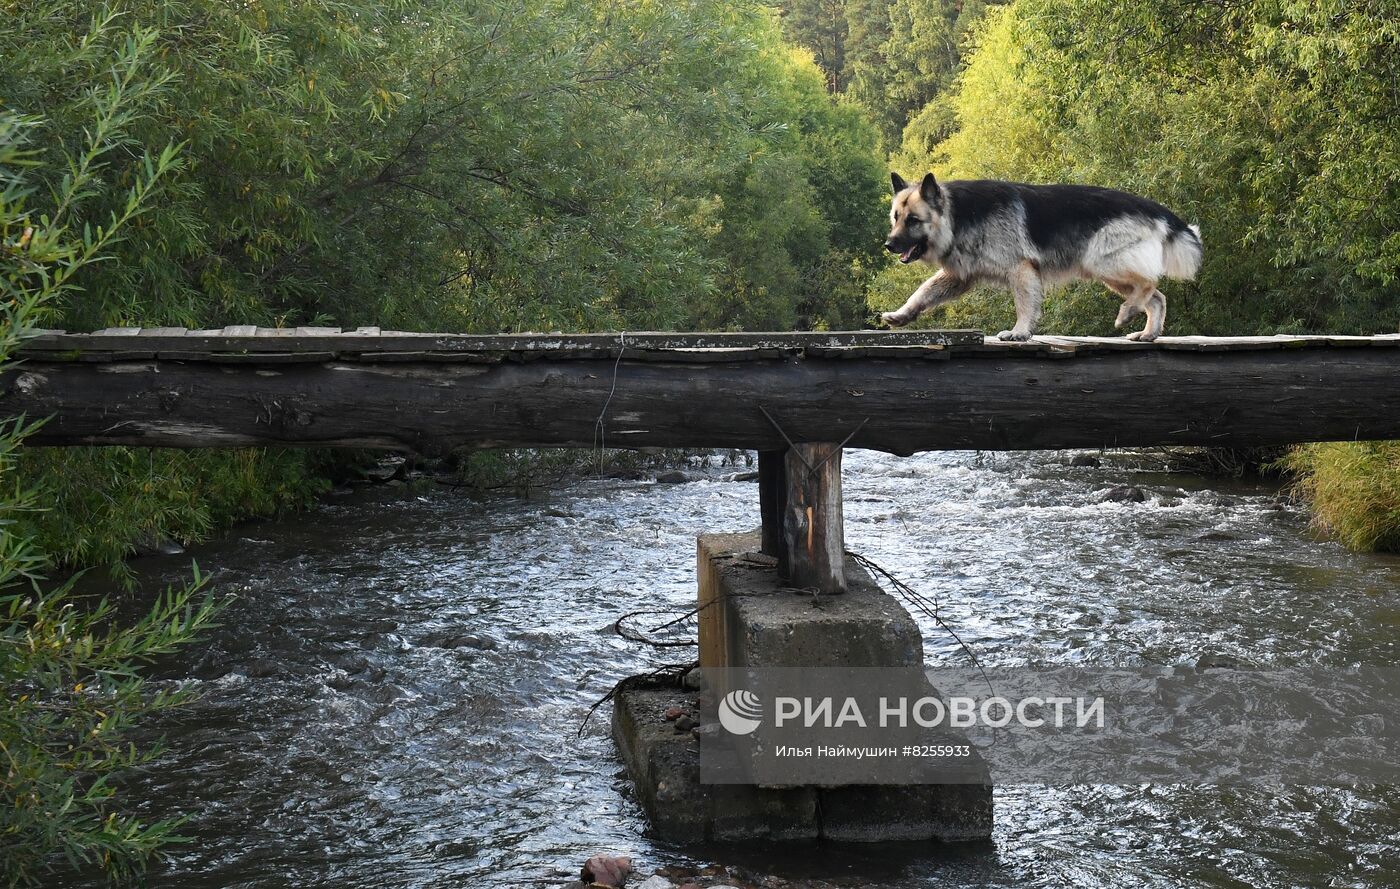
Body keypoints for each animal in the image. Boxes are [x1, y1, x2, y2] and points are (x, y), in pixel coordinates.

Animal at [884, 172, 1204, 343]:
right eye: (896, 218)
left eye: (913, 220)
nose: (888, 244)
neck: (959, 216)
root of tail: (1153, 207)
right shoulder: (959, 276)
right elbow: (923, 293)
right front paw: (902, 315)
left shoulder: (1021, 270)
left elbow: (1025, 305)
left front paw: (1020, 332)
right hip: (1109, 272)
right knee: (1158, 298)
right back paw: (1148, 333)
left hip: (1103, 263)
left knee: (1149, 284)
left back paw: (1127, 312)